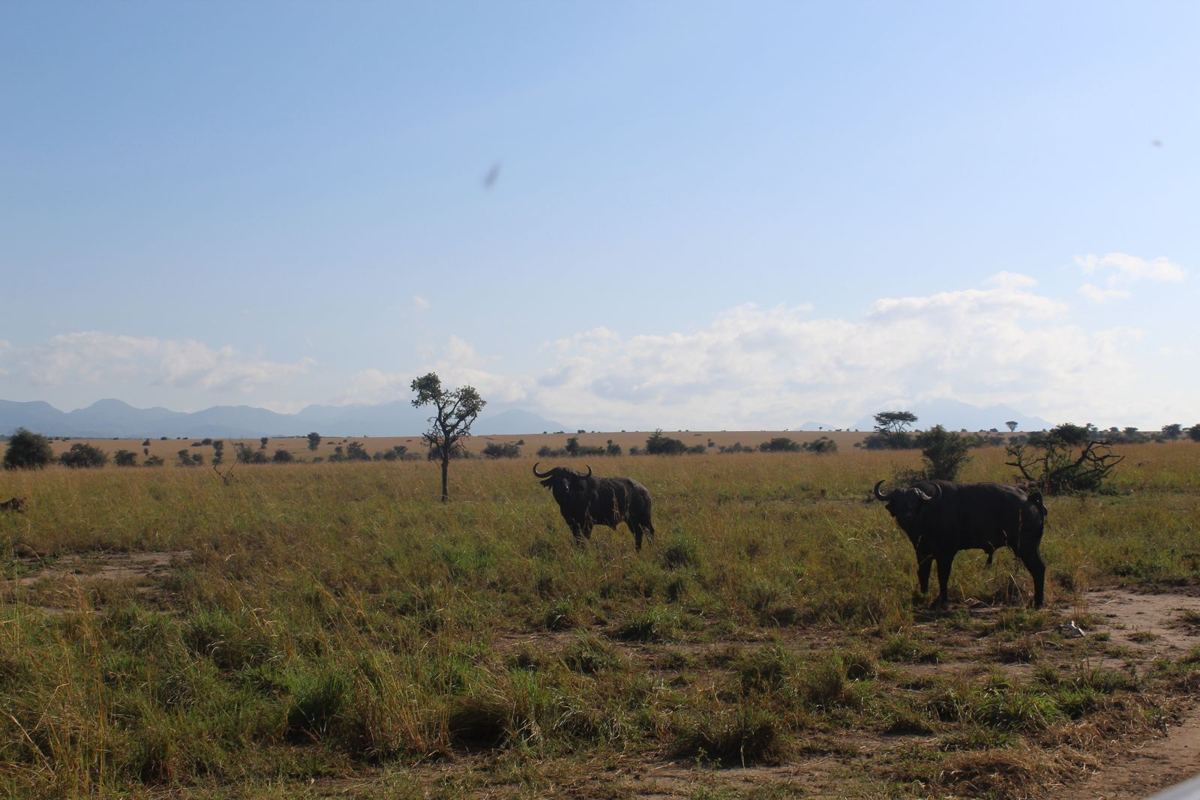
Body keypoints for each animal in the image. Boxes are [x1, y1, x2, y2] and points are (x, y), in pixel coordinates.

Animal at [873, 479, 1047, 608]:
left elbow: (943, 575)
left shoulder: (946, 553)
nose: (906, 516)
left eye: (914, 502)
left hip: (1026, 547)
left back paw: (1037, 603)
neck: (928, 513)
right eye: (897, 501)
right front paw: (923, 595)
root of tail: (1030, 498)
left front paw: (942, 600)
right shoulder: (922, 552)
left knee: (1038, 569)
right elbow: (923, 573)